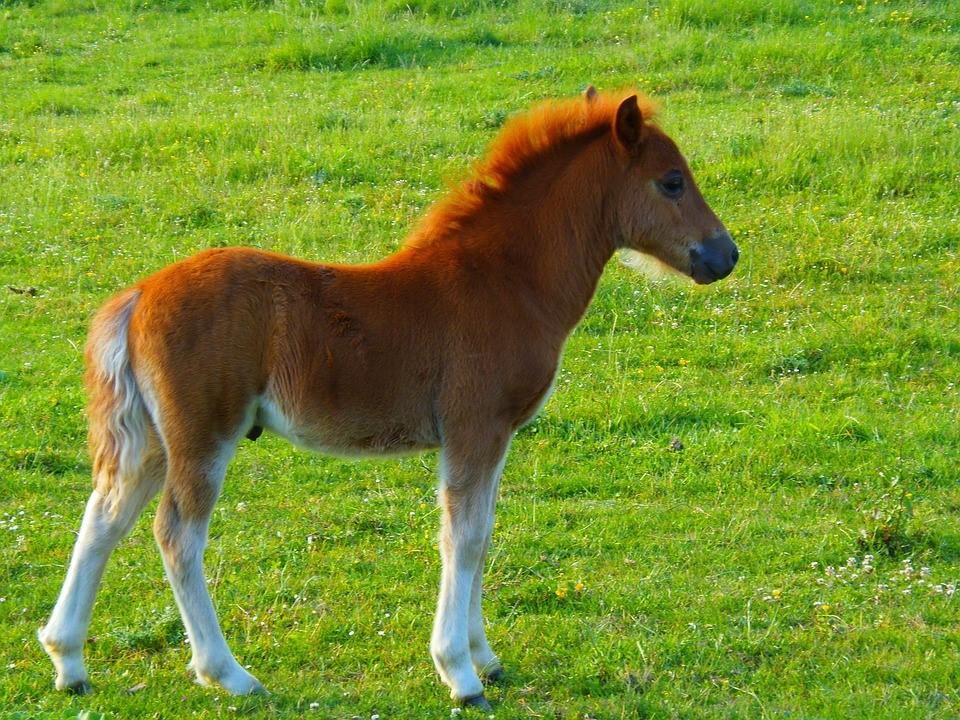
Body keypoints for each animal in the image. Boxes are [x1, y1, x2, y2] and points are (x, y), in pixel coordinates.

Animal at [39, 87, 736, 704]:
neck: (505, 281)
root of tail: (137, 296)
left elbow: (483, 532)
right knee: (176, 535)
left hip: (153, 440)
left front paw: (486, 657)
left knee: (104, 517)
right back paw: (228, 674)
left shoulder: (496, 435)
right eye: (672, 182)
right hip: (203, 435)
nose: (724, 255)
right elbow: (462, 536)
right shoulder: (474, 429)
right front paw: (460, 674)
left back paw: (69, 662)